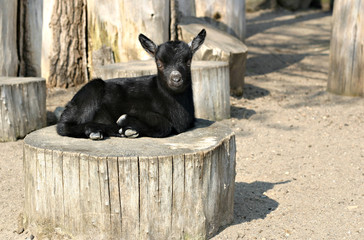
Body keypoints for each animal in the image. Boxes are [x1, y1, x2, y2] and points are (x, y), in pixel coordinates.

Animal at [56, 29, 205, 140]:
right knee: (63, 126)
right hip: (92, 90)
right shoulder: (136, 108)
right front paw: (125, 123)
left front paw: (129, 129)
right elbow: (164, 125)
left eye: (188, 61)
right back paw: (99, 130)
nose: (176, 78)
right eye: (159, 63)